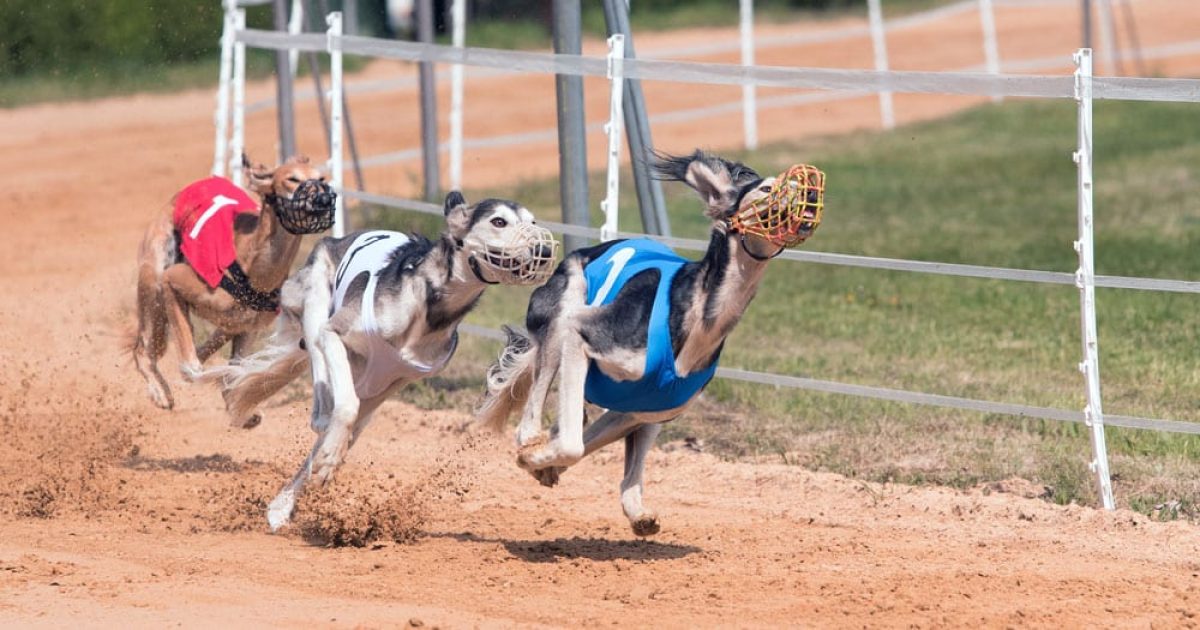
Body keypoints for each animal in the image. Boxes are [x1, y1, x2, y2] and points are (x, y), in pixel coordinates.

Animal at [212, 190, 556, 525]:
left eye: (532, 221)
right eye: (499, 221)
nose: (543, 249)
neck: (429, 304)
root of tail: (335, 239)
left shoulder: (397, 379)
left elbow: (344, 427)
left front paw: (325, 465)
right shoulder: (336, 333)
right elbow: (344, 405)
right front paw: (329, 451)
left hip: (370, 381)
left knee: (342, 424)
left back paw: (284, 503)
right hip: (314, 297)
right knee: (318, 360)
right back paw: (320, 413)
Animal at [477, 148, 825, 535]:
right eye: (765, 188)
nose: (811, 191)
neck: (696, 311)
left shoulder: (645, 409)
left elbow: (592, 448)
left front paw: (548, 468)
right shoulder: (583, 335)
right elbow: (571, 445)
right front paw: (534, 458)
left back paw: (628, 507)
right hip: (563, 311)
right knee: (535, 416)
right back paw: (532, 443)